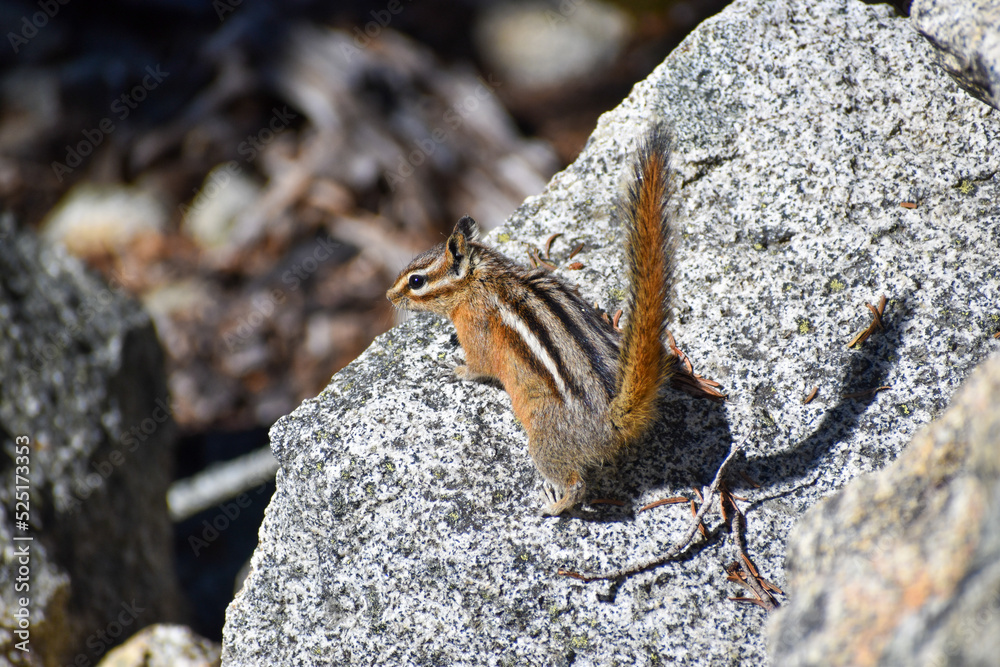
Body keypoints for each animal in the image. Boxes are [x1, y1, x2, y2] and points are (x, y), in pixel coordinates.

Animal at [386, 124, 676, 515]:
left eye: (416, 282)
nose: (388, 296)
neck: (479, 278)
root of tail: (612, 419)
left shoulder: (476, 330)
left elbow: (477, 366)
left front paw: (455, 368)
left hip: (544, 440)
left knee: (576, 484)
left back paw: (552, 504)